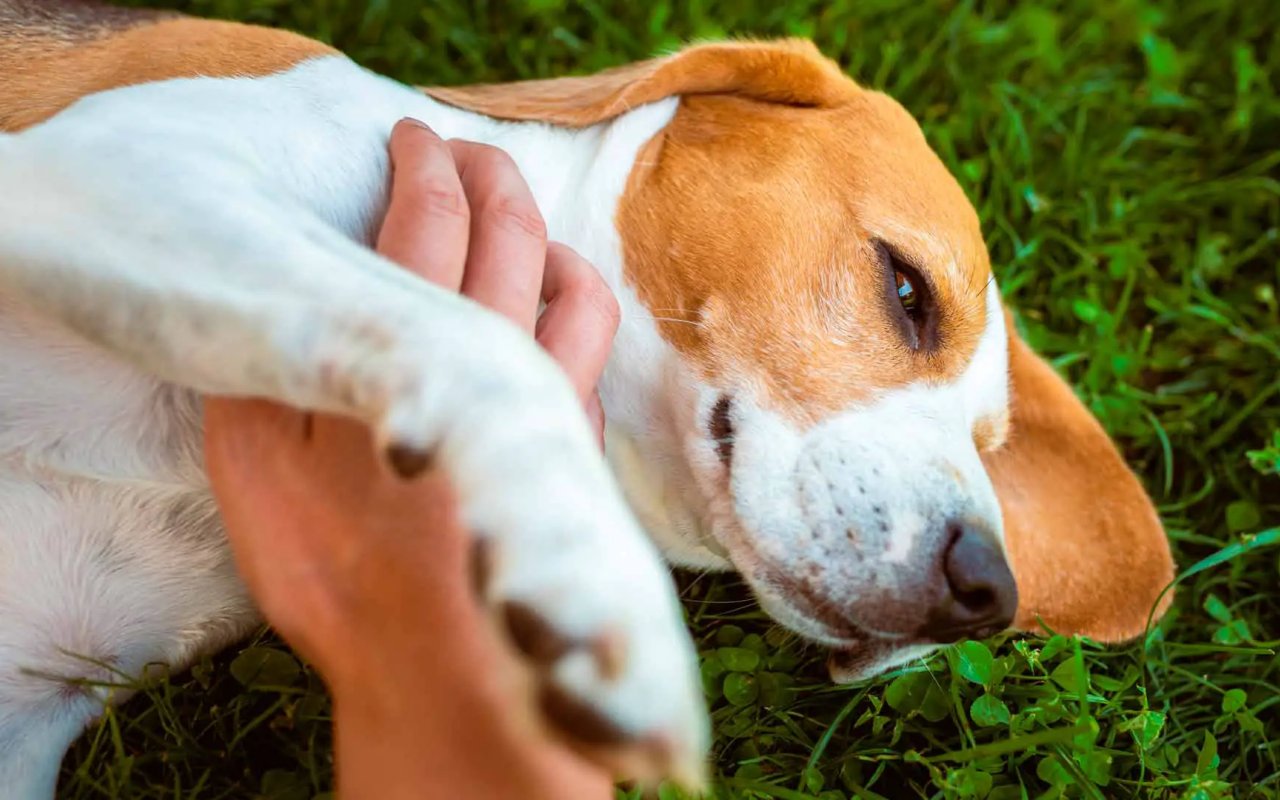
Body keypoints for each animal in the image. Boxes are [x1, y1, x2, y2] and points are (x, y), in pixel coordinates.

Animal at [0, 0, 1172, 793]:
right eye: (906, 289)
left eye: (986, 437)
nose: (986, 589)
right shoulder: (113, 166)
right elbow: (490, 346)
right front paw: (590, 583)